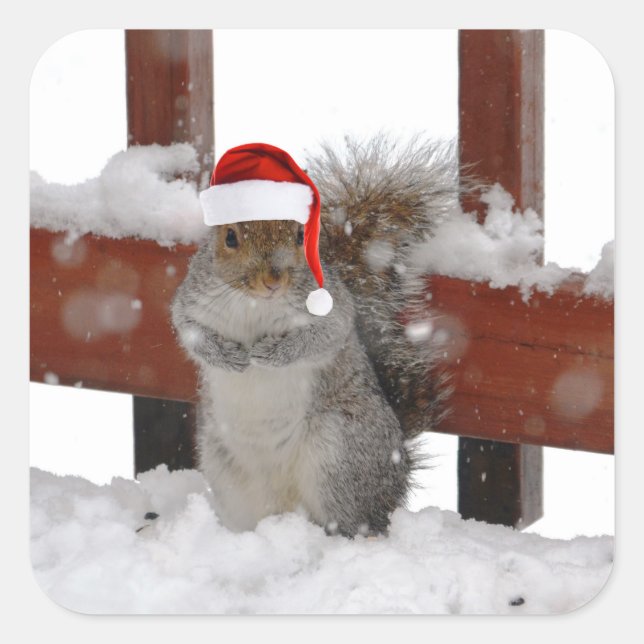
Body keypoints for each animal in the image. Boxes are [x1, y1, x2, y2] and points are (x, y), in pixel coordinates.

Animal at [171, 135, 459, 537]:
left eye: (297, 235)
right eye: (230, 237)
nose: (273, 280)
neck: (255, 304)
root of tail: (398, 467)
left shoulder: (332, 310)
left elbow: (323, 336)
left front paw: (270, 353)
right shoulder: (193, 301)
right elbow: (190, 332)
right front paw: (229, 356)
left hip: (339, 451)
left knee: (358, 520)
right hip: (222, 463)